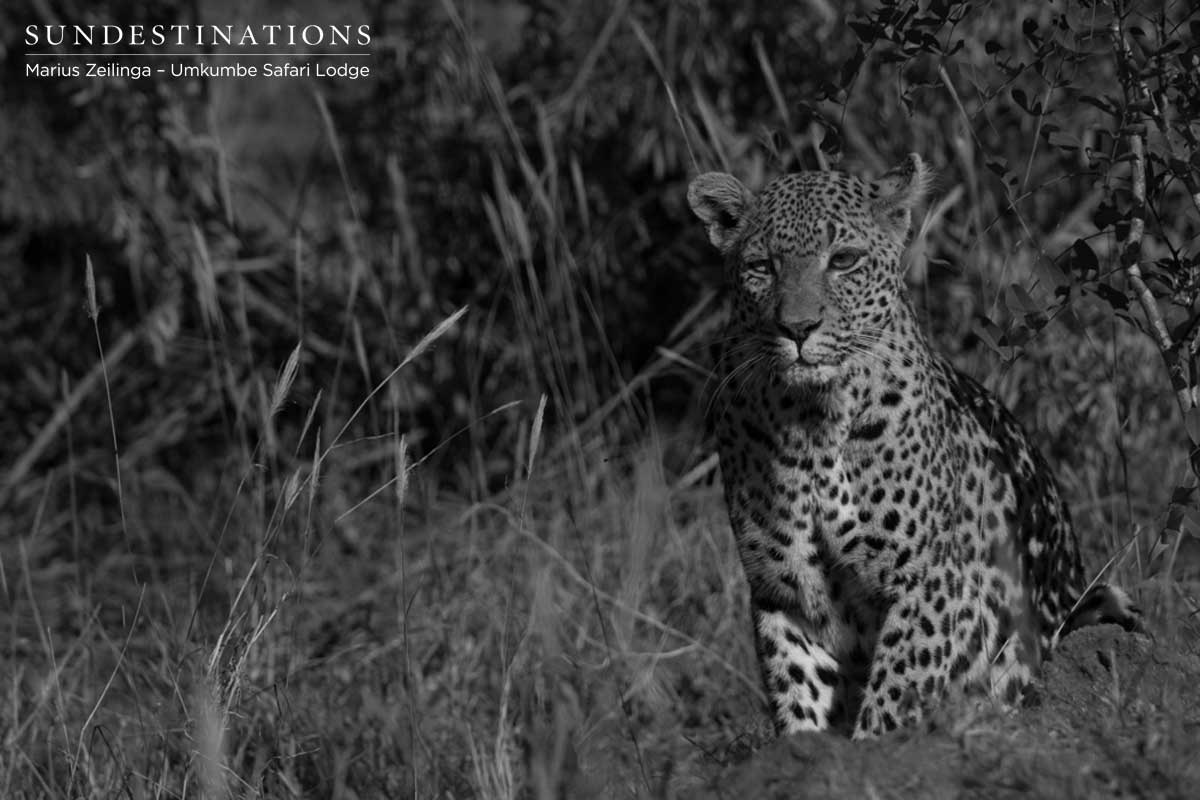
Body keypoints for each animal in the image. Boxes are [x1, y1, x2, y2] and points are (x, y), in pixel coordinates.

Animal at [686, 153, 1142, 740]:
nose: (798, 329)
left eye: (844, 260)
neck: (811, 419)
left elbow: (894, 697)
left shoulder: (929, 582)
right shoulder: (782, 595)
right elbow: (800, 698)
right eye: (762, 266)